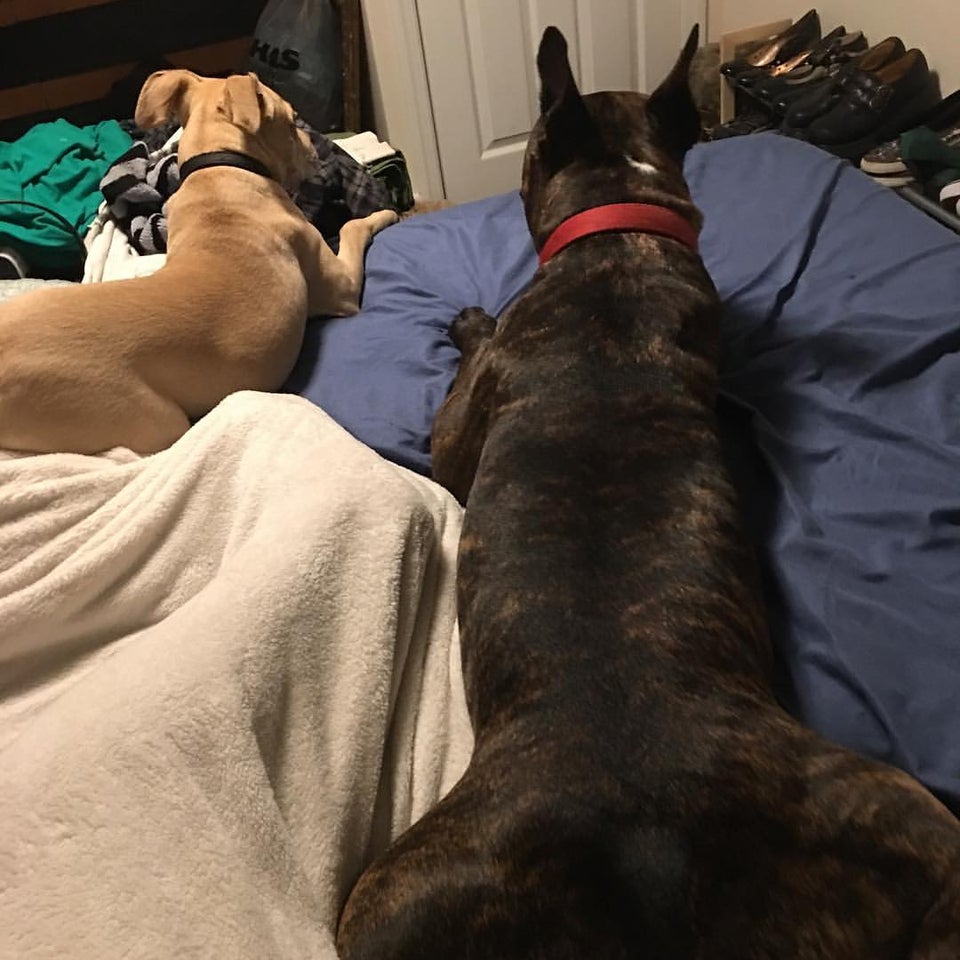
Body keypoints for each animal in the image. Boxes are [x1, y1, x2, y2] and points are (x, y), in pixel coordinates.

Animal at [0, 70, 397, 455]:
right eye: (289, 118)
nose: (315, 147)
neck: (218, 169)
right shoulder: (341, 286)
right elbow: (351, 227)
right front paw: (386, 213)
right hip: (141, 414)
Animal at [335, 25, 960, 960]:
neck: (621, 227)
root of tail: (651, 840)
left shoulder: (455, 440)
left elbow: (466, 382)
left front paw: (469, 320)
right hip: (911, 822)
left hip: (389, 902)